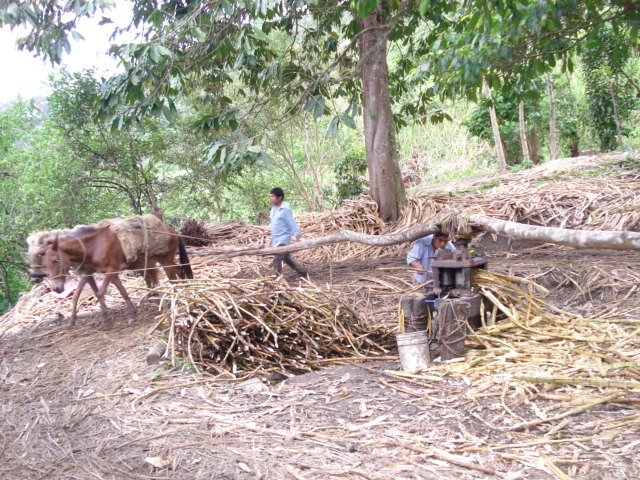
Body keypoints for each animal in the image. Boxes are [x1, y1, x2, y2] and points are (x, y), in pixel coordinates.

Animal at [37, 220, 191, 326]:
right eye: (45, 264)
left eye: (56, 260)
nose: (56, 288)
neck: (94, 246)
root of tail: (171, 229)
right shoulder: (106, 273)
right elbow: (121, 292)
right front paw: (132, 315)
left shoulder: (110, 271)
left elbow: (99, 293)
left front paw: (106, 320)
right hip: (159, 261)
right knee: (179, 270)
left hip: (165, 260)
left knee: (173, 278)